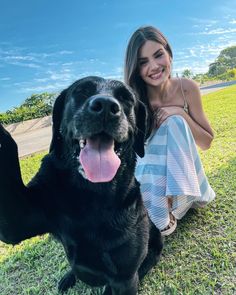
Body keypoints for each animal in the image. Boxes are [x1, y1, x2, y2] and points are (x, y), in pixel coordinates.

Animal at [0, 77, 162, 295]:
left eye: (126, 99)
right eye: (82, 91)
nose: (106, 106)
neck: (91, 194)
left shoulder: (125, 278)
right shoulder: (16, 222)